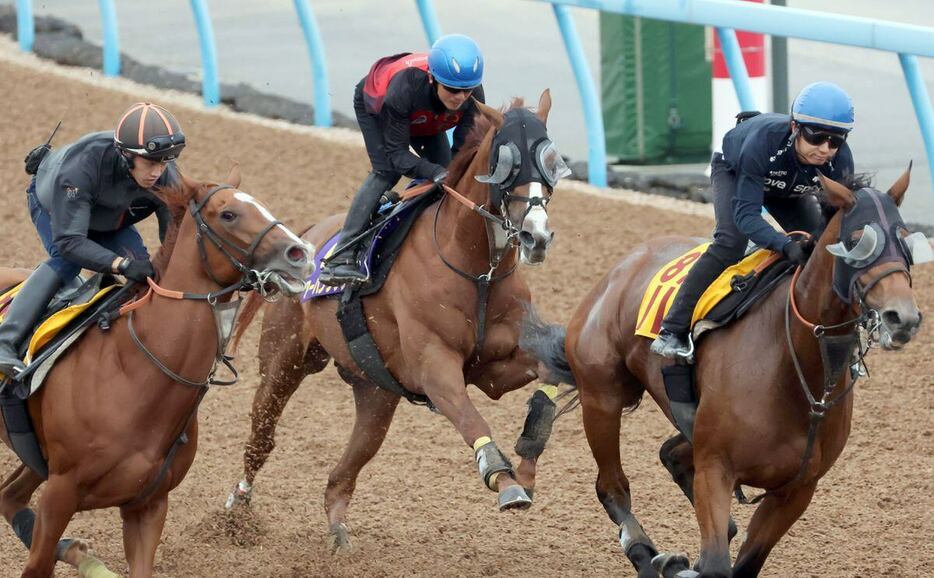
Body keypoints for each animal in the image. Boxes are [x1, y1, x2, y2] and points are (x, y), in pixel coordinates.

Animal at [0, 168, 316, 576]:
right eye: (228, 214)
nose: (301, 254)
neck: (133, 374)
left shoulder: (148, 504)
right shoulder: (60, 493)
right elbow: (37, 564)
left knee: (9, 496)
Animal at [225, 91, 572, 548]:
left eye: (550, 159)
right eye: (506, 161)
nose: (537, 236)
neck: (476, 270)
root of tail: (308, 237)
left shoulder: (493, 368)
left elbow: (549, 369)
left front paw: (528, 457)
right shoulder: (435, 367)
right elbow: (470, 417)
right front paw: (505, 481)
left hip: (375, 392)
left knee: (344, 471)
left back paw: (338, 533)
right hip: (283, 362)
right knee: (262, 437)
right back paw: (235, 512)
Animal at [524, 172, 924, 576]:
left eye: (905, 239)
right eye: (858, 240)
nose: (902, 317)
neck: (797, 372)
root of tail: (620, 269)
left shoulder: (797, 489)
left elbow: (743, 564)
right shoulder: (715, 469)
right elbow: (718, 564)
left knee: (671, 454)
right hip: (602, 397)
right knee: (612, 486)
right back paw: (647, 554)